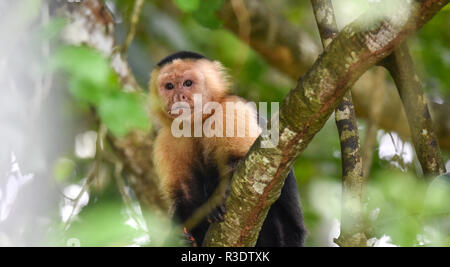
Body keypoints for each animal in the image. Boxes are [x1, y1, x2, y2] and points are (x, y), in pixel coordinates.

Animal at [149, 50, 308, 247]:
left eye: (188, 83)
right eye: (169, 86)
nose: (179, 97)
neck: (197, 123)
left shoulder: (231, 110)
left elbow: (249, 169)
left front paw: (218, 198)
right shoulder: (167, 139)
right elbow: (185, 195)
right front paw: (179, 237)